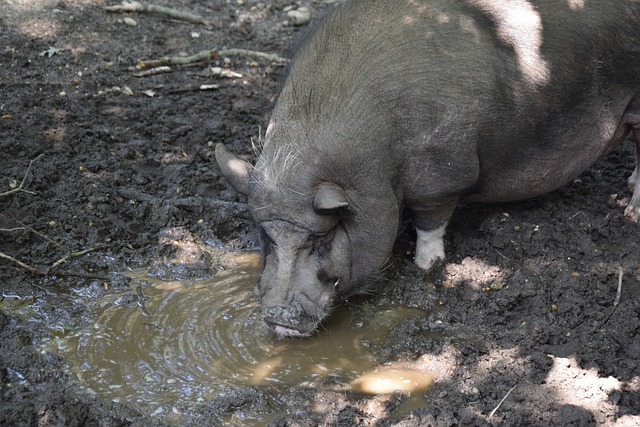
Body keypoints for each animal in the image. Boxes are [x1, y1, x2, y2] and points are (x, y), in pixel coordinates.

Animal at [215, 0, 640, 340]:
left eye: (321, 239)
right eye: (267, 238)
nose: (278, 317)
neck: (377, 160)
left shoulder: (443, 173)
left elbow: (431, 221)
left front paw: (426, 268)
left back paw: (631, 213)